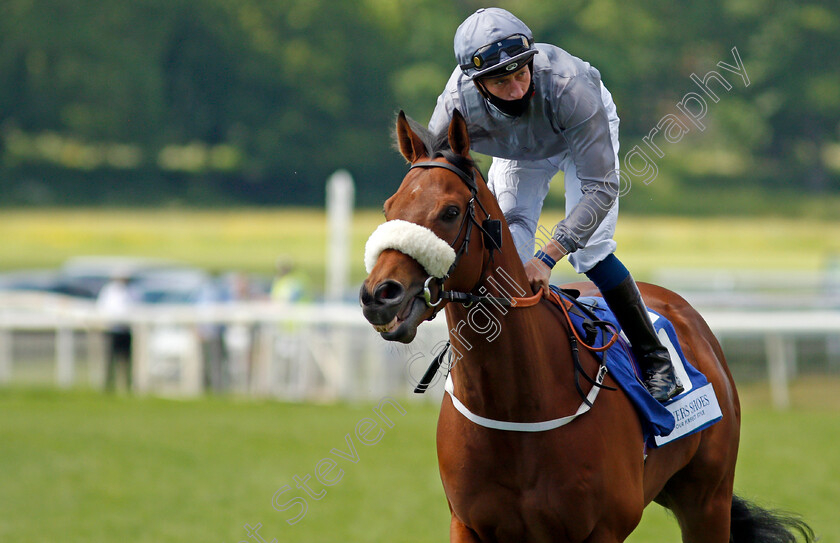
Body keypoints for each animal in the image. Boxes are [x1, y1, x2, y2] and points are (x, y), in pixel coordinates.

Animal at [360, 109, 812, 543]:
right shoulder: (468, 525)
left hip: (707, 501)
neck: (518, 404)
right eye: (388, 208)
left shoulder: (603, 529)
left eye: (450, 212)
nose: (379, 295)